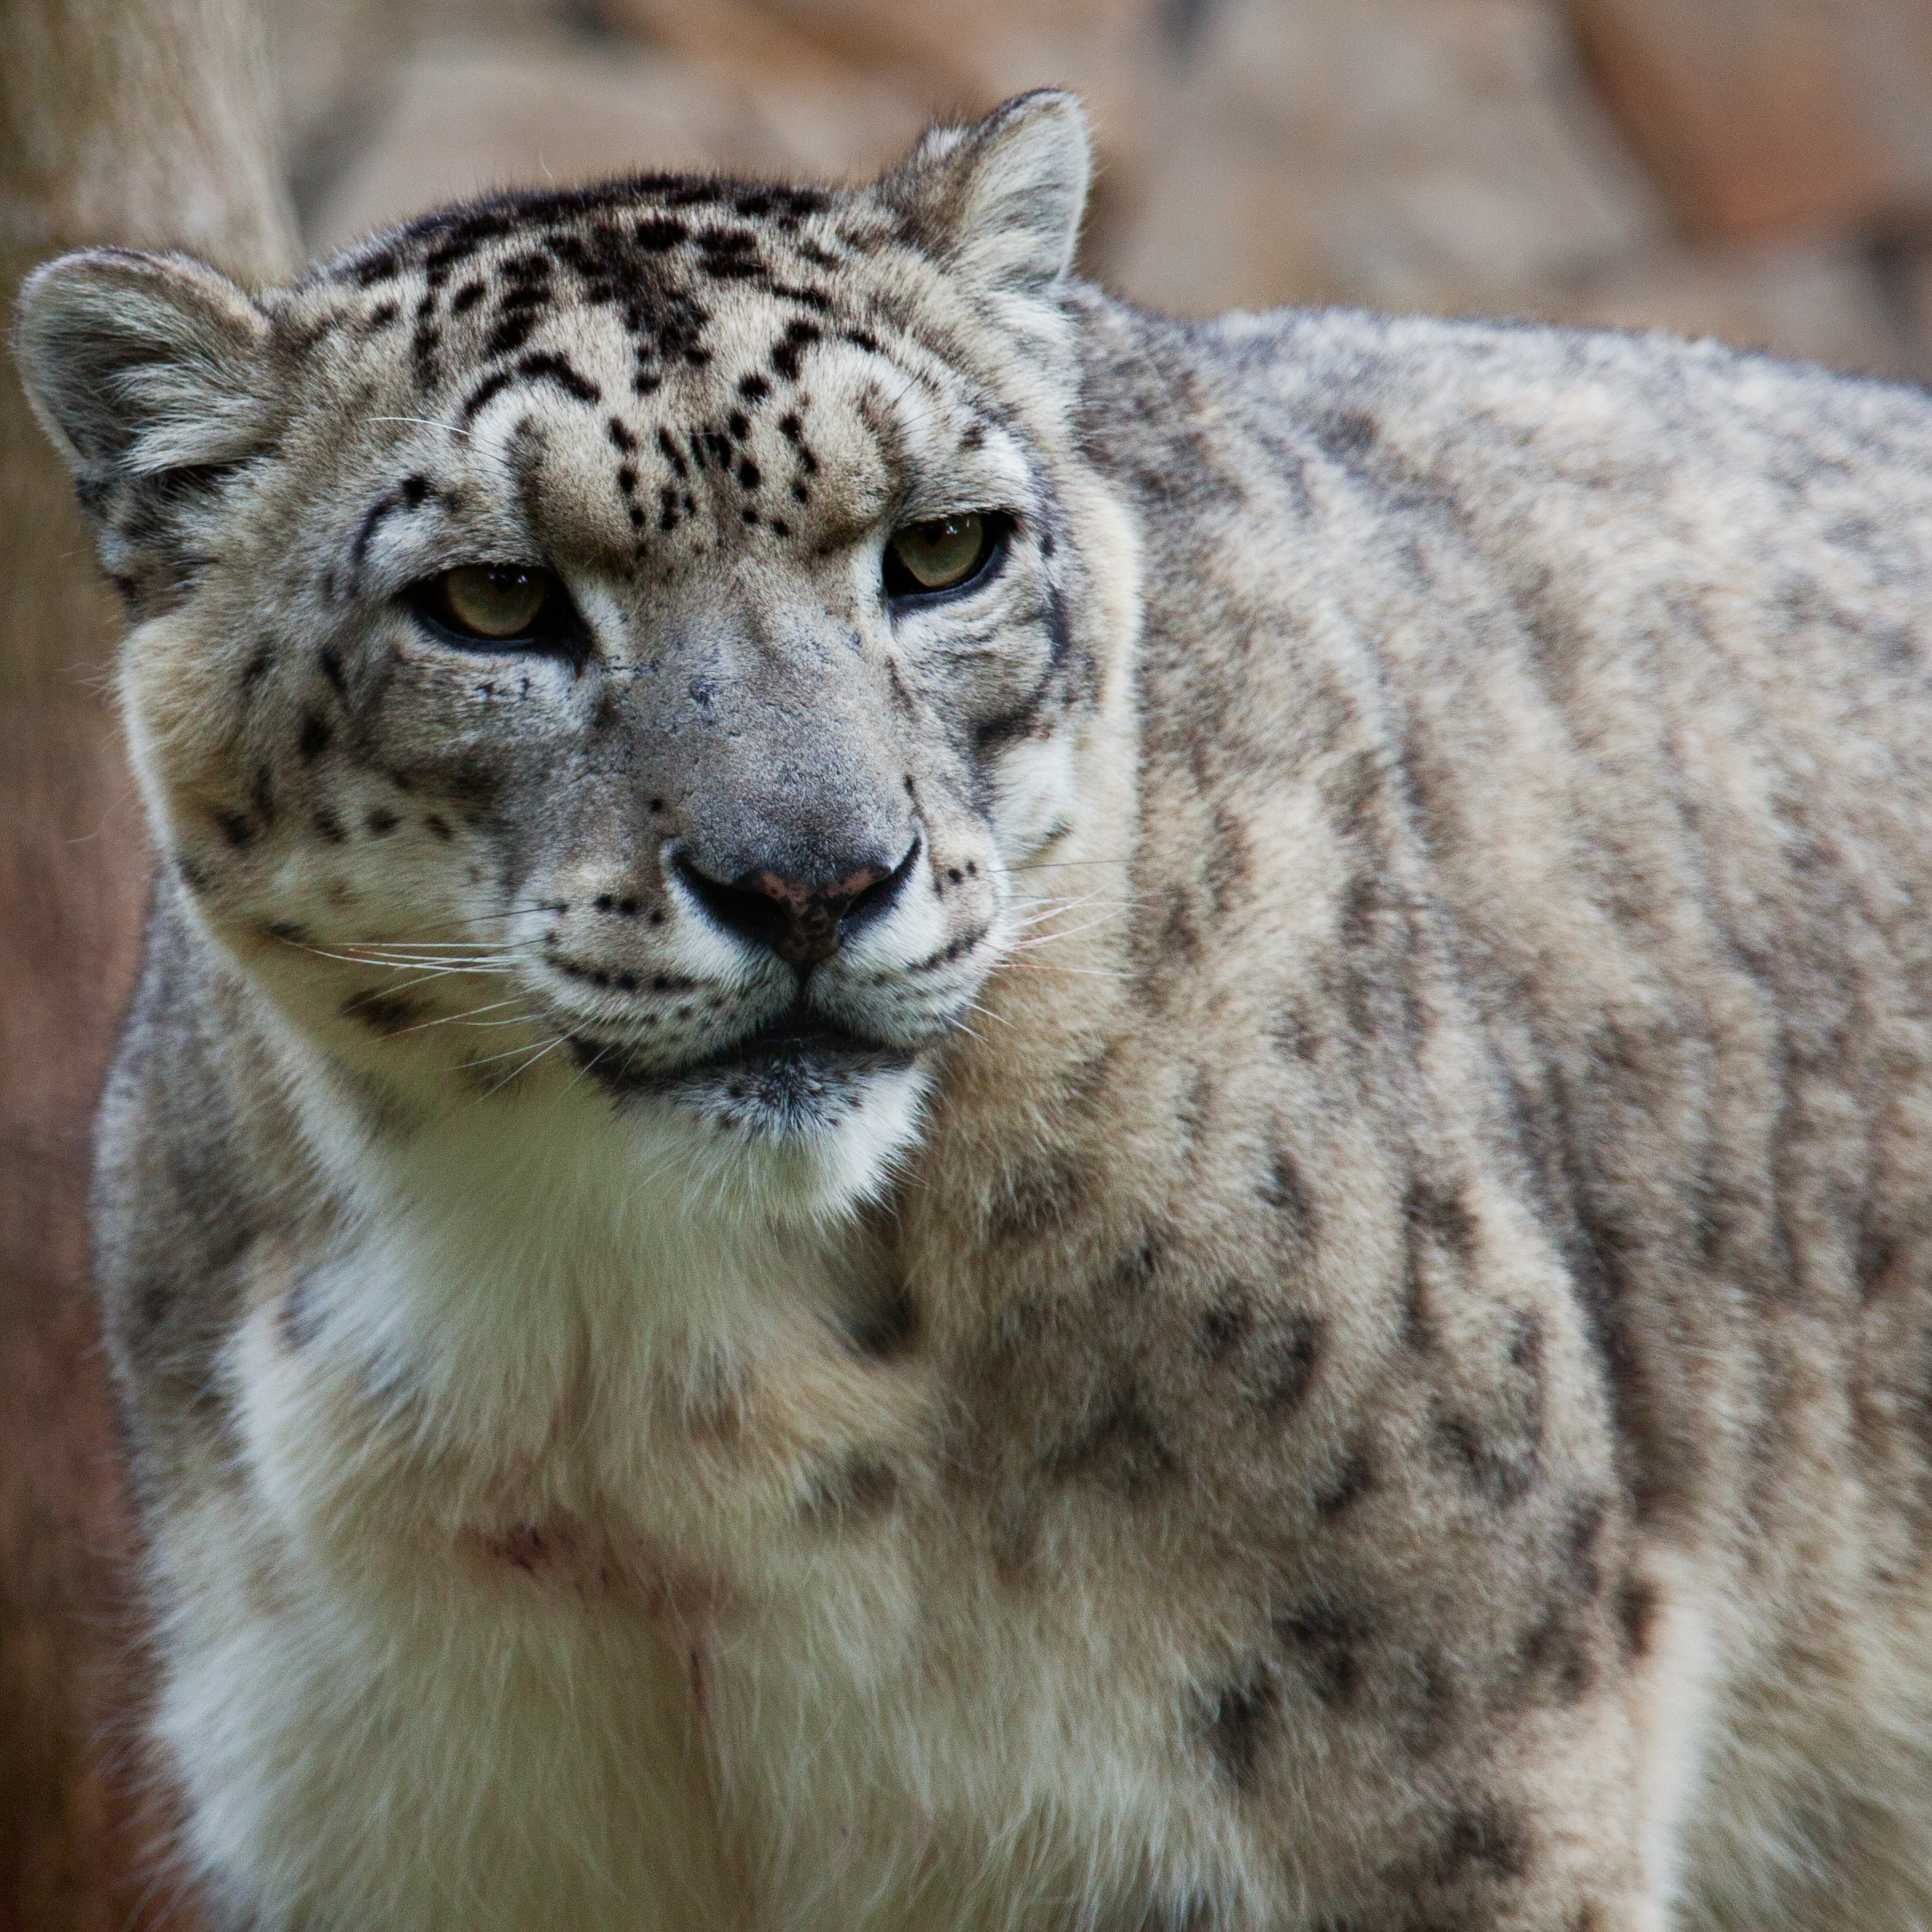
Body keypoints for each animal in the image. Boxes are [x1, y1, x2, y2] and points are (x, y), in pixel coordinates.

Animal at [16, 86, 1932, 1932]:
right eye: (490, 599)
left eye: (942, 549)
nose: (810, 878)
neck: (626, 1372)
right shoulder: (397, 1808)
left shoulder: (1444, 1758)